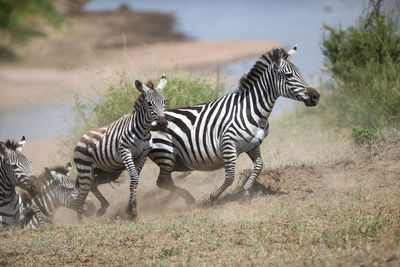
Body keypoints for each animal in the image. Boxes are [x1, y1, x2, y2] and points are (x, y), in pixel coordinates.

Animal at [74, 74, 168, 221]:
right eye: (149, 103)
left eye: (164, 101)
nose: (163, 123)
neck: (143, 131)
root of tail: (81, 138)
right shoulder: (125, 152)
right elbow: (134, 178)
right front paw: (132, 211)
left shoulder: (143, 155)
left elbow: (135, 180)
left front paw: (130, 209)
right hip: (85, 170)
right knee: (82, 194)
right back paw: (80, 221)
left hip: (108, 171)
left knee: (93, 183)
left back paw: (103, 207)